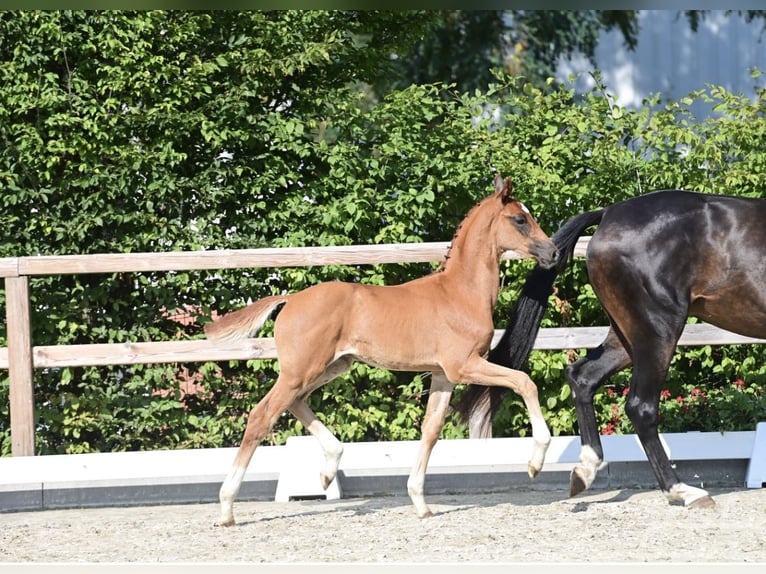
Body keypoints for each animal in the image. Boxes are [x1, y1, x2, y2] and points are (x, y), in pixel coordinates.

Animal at [204, 173, 559, 526]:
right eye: (520, 219)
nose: (553, 252)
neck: (460, 293)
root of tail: (290, 299)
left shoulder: (443, 375)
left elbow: (431, 430)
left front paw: (420, 503)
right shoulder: (464, 365)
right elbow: (524, 382)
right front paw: (535, 463)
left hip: (331, 366)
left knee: (294, 403)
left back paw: (328, 469)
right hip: (302, 370)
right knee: (261, 415)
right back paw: (226, 507)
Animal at [457, 188, 766, 509]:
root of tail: (608, 214)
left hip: (627, 336)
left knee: (583, 377)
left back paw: (585, 470)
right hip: (657, 330)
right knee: (640, 407)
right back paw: (682, 490)